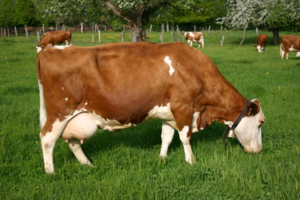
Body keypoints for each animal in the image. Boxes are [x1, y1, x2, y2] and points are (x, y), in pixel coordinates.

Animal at [35, 41, 264, 173]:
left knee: (72, 142)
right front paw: (191, 161)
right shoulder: (183, 107)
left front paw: (162, 158)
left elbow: (166, 136)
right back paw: (50, 172)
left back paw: (87, 165)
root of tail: (49, 50)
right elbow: (185, 138)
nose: (260, 150)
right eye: (261, 122)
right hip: (59, 112)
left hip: (75, 117)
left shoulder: (168, 112)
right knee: (47, 139)